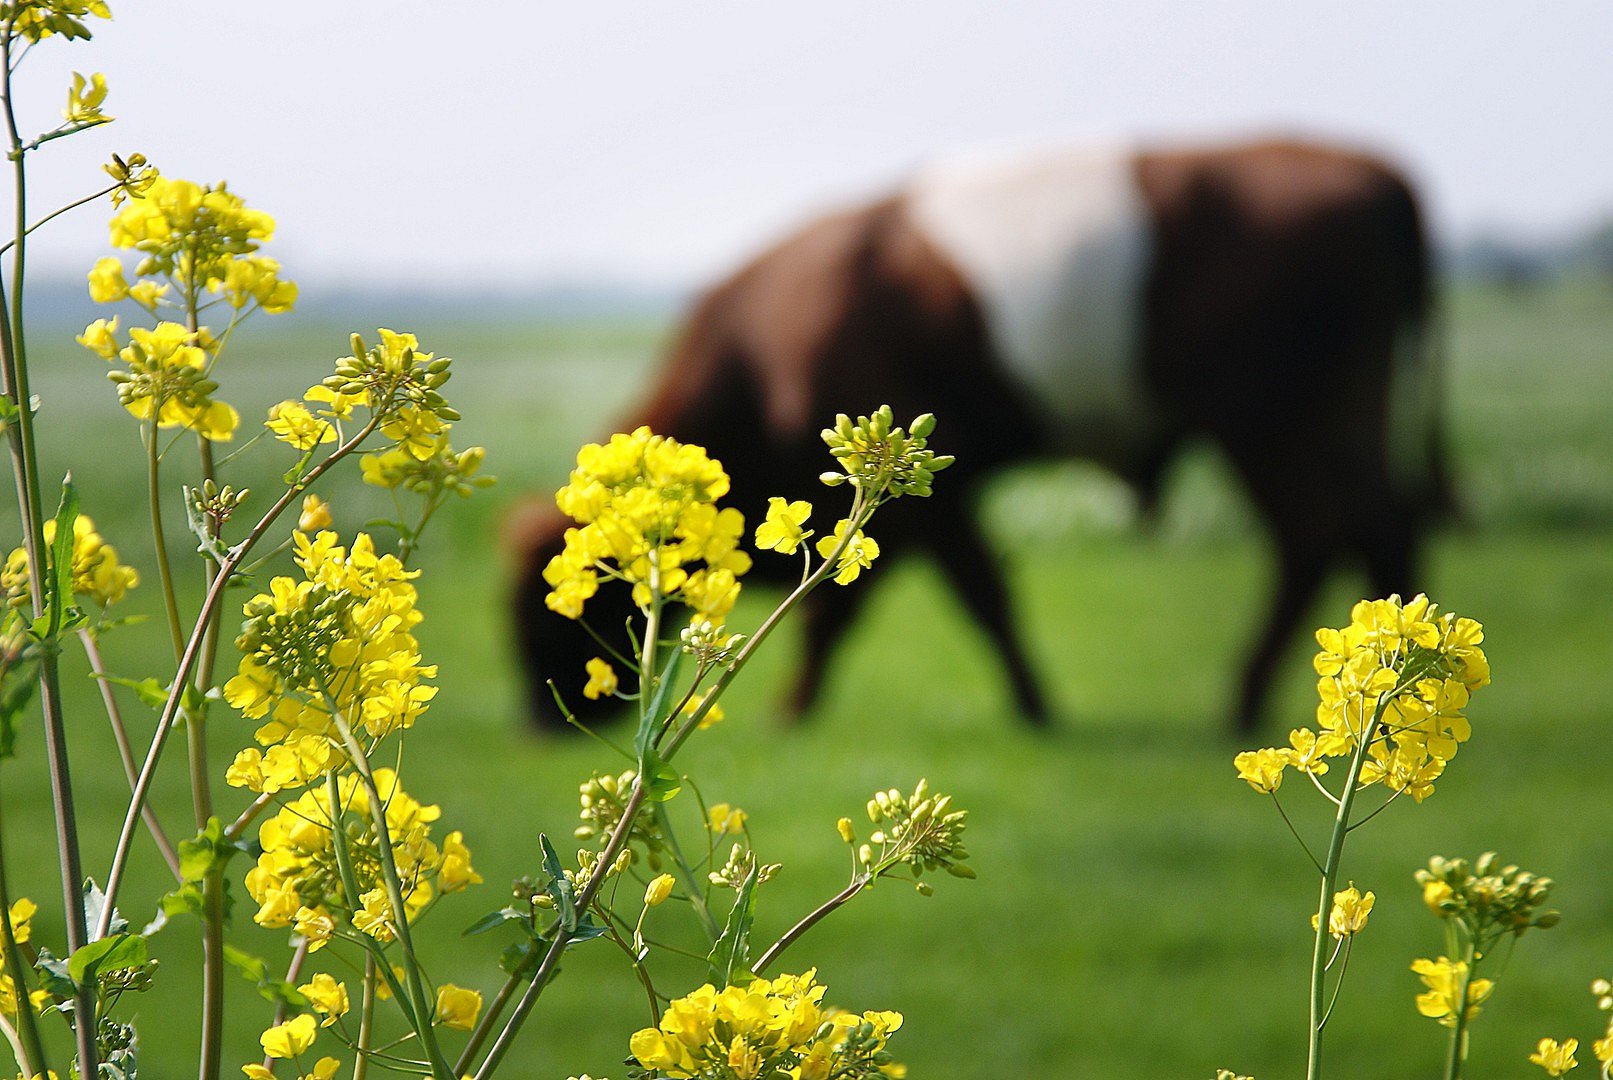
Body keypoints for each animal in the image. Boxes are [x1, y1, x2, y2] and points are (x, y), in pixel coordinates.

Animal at [509, 137, 1445, 735]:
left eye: (534, 602)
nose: (531, 722)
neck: (768, 337)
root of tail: (1377, 175)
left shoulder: (928, 502)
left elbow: (929, 601)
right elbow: (937, 597)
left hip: (1277, 426)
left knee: (1323, 535)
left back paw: (1268, 703)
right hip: (1328, 423)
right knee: (1371, 529)